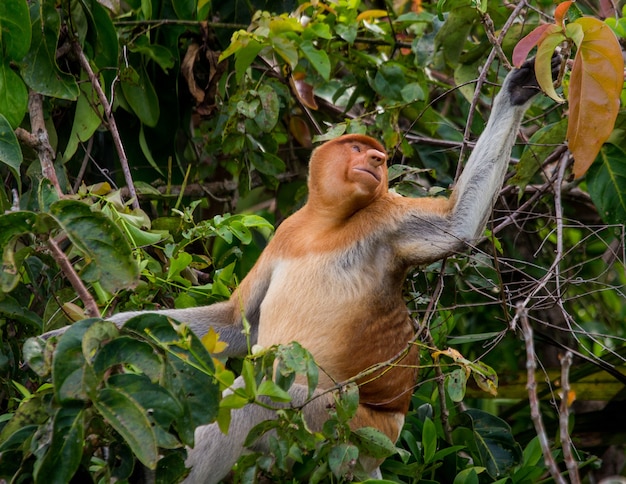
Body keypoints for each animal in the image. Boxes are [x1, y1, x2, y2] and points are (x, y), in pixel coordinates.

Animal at [45, 55, 556, 480]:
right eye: (357, 148)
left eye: (377, 154)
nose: (378, 159)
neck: (326, 225)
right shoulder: (286, 233)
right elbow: (234, 321)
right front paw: (73, 336)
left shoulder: (386, 217)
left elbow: (456, 226)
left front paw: (519, 88)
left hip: (348, 426)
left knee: (268, 394)